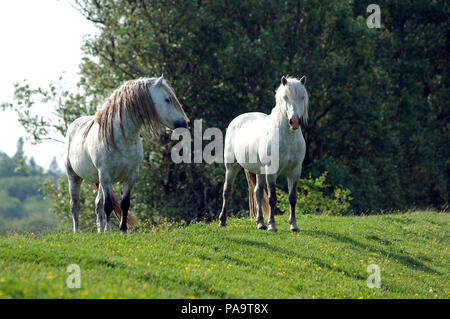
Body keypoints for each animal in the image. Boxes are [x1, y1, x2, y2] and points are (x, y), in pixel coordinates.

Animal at [64, 76, 188, 234]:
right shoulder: (106, 175)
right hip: (74, 177)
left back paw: (99, 230)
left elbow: (124, 204)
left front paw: (123, 230)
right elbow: (108, 205)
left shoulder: (131, 176)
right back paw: (78, 231)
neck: (121, 137)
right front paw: (108, 231)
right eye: (167, 99)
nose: (184, 124)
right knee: (75, 206)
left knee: (97, 204)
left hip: (98, 180)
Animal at [219, 76, 310, 234]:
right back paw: (222, 221)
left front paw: (293, 225)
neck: (287, 138)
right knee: (227, 191)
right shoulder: (271, 172)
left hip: (260, 171)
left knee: (258, 192)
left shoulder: (295, 171)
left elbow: (292, 198)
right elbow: (272, 198)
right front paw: (272, 225)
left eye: (302, 97)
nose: (294, 121)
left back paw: (260, 223)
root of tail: (237, 119)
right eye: (285, 97)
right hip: (231, 167)